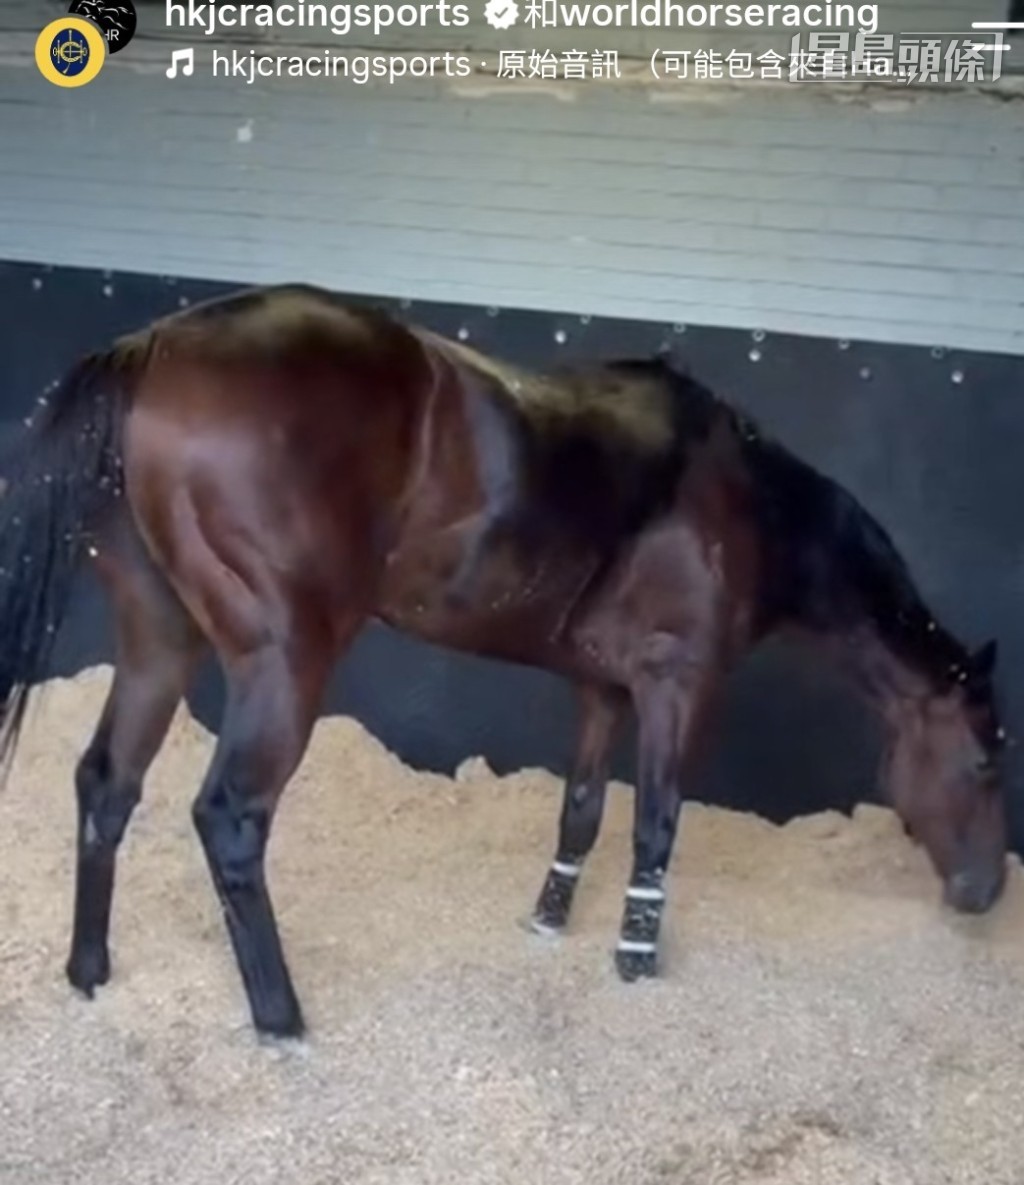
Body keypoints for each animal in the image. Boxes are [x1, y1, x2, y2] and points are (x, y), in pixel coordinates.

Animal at [0, 283, 1009, 1039]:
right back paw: (283, 1020)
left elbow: (583, 812)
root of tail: (153, 345)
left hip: (158, 639)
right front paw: (636, 959)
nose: (988, 891)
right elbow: (657, 825)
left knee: (108, 782)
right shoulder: (678, 685)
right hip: (283, 660)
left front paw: (550, 921)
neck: (741, 500)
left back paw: (89, 971)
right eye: (986, 760)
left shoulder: (603, 688)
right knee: (230, 819)